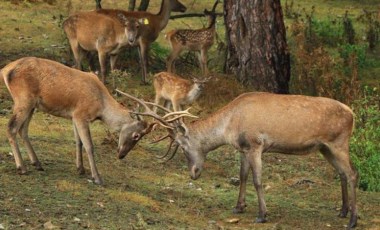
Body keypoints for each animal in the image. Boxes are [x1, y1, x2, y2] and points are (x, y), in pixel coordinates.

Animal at [0, 57, 156, 185]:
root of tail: (6, 70)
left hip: (32, 105)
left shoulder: (74, 115)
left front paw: (80, 169)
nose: (121, 155)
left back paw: (37, 163)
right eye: (136, 135)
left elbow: (78, 141)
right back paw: (22, 167)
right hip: (23, 100)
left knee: (23, 130)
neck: (101, 106)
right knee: (11, 128)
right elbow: (89, 145)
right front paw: (97, 177)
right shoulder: (81, 114)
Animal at [119, 91, 360, 228]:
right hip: (325, 148)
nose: (193, 173)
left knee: (352, 173)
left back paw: (352, 220)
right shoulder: (243, 149)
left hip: (339, 143)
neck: (229, 127)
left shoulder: (256, 144)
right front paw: (239, 207)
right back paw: (342, 211)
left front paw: (262, 215)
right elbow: (243, 176)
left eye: (184, 146)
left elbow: (257, 180)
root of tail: (352, 114)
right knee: (342, 173)